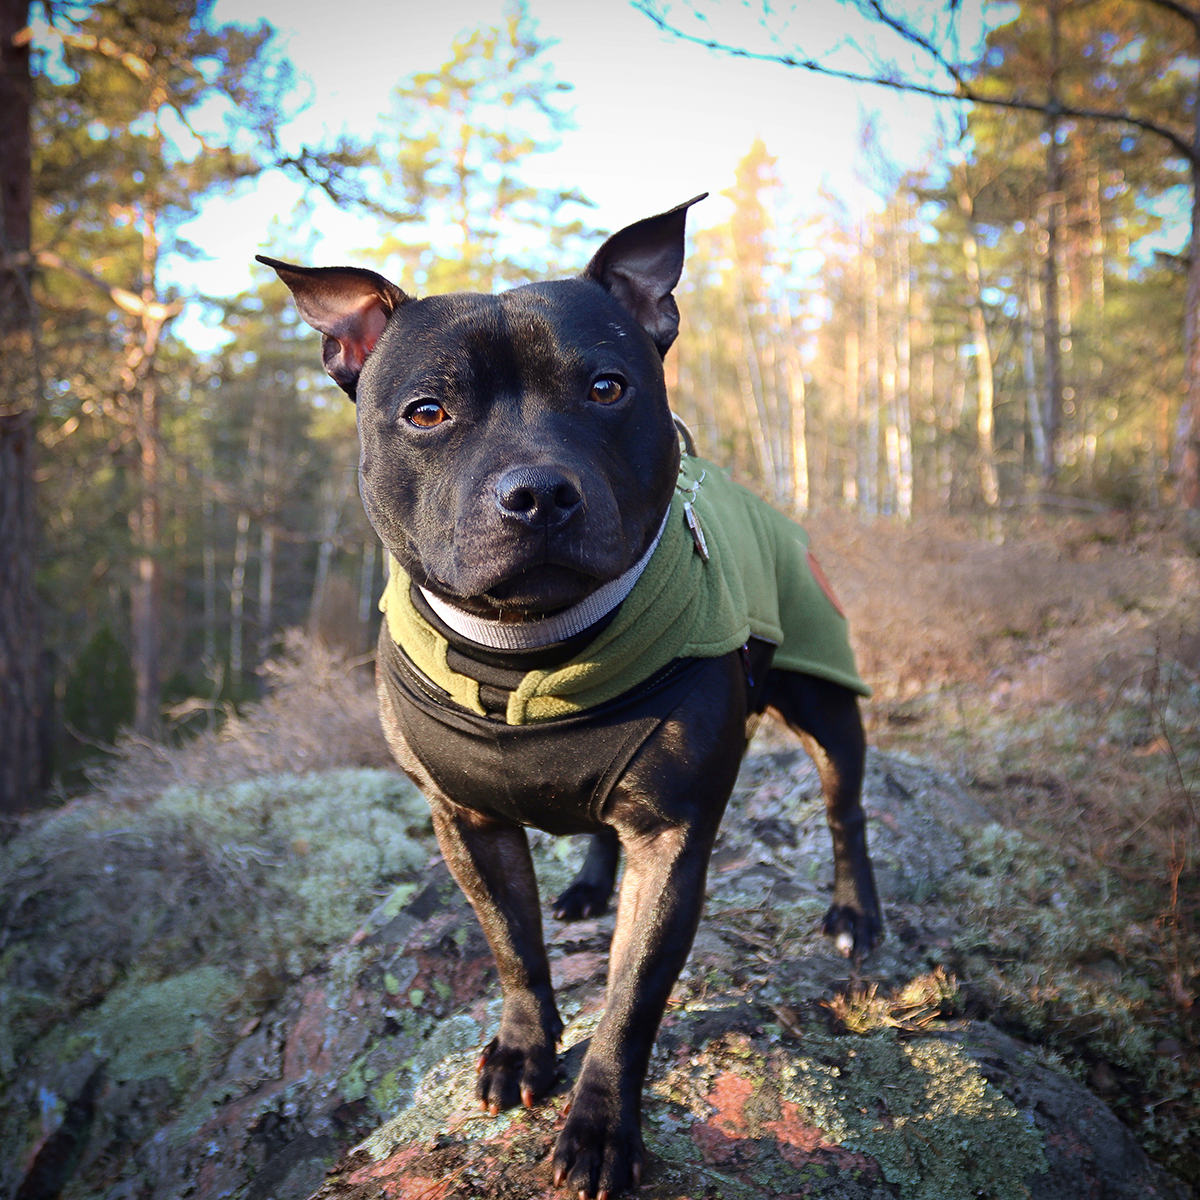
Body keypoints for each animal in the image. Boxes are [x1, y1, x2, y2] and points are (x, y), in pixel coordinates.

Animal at [260, 199, 883, 1200]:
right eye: (427, 412)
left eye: (606, 388)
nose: (539, 492)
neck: (528, 654)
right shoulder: (467, 821)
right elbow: (512, 947)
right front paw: (524, 1050)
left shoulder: (673, 841)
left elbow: (631, 999)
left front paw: (598, 1127)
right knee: (596, 829)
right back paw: (590, 888)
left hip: (826, 700)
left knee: (845, 809)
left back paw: (856, 916)